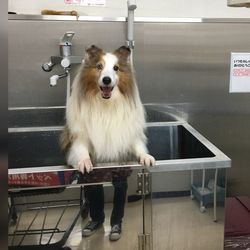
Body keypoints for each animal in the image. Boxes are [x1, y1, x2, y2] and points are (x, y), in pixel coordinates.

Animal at [60, 45, 154, 173]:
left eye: (116, 68)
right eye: (99, 66)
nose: (106, 80)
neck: (106, 104)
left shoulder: (129, 132)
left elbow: (138, 146)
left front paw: (146, 157)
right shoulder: (79, 135)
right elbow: (80, 149)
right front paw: (84, 161)